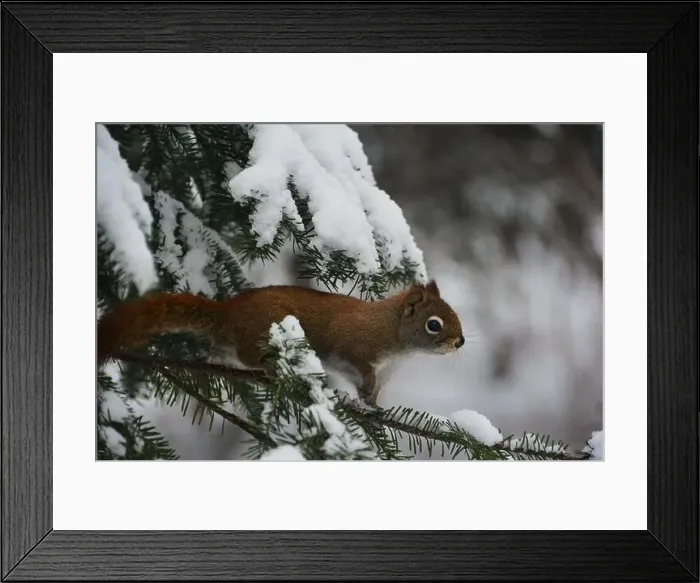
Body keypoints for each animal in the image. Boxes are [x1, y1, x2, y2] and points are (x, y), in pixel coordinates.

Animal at [97, 280, 465, 405]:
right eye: (434, 324)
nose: (460, 342)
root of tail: (227, 313)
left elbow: (374, 393)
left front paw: (374, 406)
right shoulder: (357, 350)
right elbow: (362, 373)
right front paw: (365, 399)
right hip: (265, 330)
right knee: (248, 354)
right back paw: (269, 367)